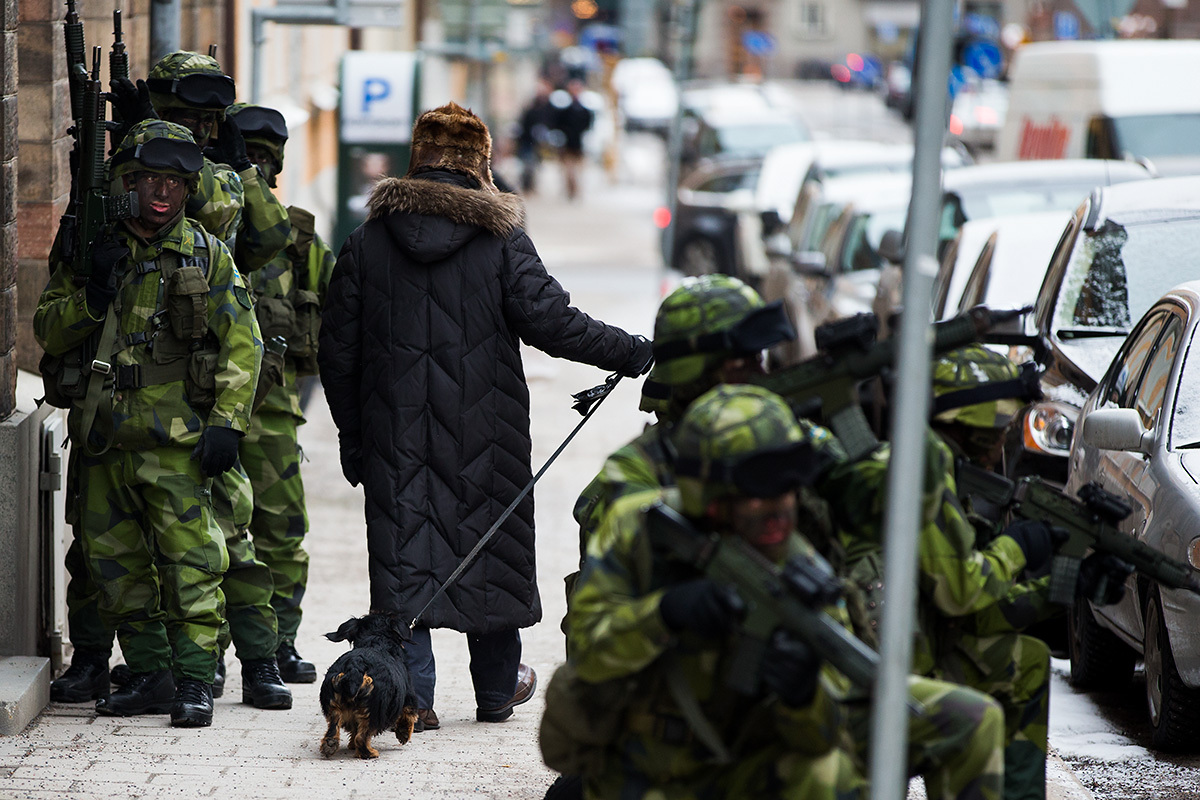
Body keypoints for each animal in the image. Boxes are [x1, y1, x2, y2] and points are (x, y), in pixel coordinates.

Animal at [319, 613, 418, 759]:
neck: (375, 641)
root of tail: (355, 667)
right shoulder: (409, 696)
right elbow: (408, 714)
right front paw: (404, 733)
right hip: (376, 711)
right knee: (362, 737)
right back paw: (370, 753)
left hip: (333, 704)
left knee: (334, 726)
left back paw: (330, 744)